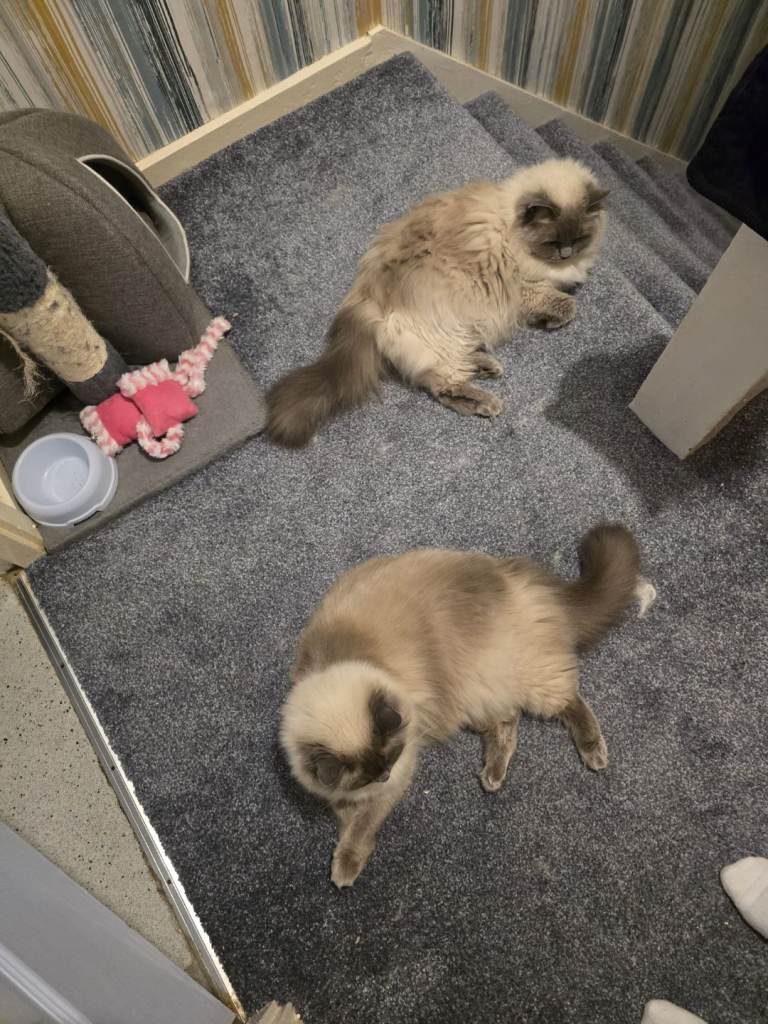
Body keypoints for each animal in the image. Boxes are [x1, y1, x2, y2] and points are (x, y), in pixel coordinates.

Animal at [267, 157, 608, 447]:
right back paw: (488, 402)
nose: (566, 254)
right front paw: (556, 317)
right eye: (553, 242)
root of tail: (365, 301)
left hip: (454, 336)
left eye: (578, 239)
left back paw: (488, 366)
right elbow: (564, 303)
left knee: (448, 373)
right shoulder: (524, 287)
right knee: (444, 387)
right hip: (446, 335)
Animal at [279, 523, 654, 888]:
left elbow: (362, 826)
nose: (384, 775)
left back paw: (593, 753)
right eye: (369, 774)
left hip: (523, 683)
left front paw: (345, 868)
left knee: (568, 701)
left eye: (390, 760)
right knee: (508, 724)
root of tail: (529, 582)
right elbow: (349, 816)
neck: (342, 658)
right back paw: (492, 777)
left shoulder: (401, 767)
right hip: (477, 699)